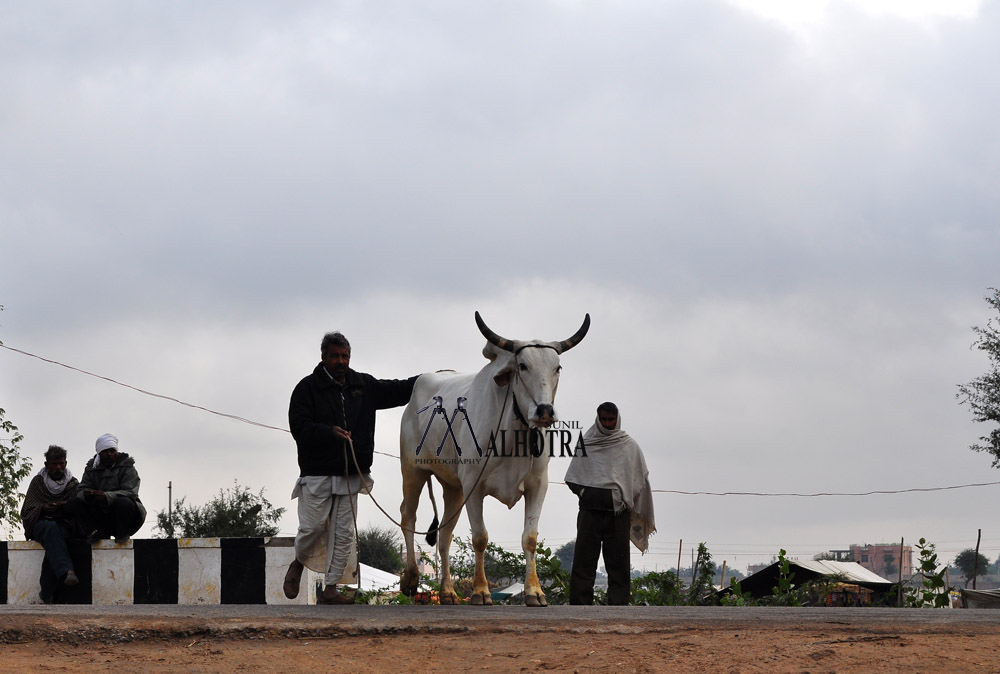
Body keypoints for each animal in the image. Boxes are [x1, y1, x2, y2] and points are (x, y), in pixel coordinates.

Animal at [396, 312, 584, 608]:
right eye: (522, 366)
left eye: (557, 367)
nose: (544, 411)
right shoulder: (474, 487)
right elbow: (480, 538)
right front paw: (481, 591)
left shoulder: (537, 486)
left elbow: (530, 539)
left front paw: (535, 592)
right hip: (413, 471)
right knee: (408, 516)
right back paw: (411, 579)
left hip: (454, 488)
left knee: (445, 535)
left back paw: (448, 592)